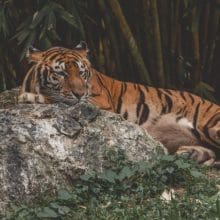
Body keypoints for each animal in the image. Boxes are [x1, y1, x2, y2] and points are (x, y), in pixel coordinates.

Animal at [18, 41, 220, 167]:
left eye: (81, 72)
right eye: (61, 73)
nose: (80, 93)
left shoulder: (98, 103)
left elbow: (60, 99)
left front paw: (29, 97)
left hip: (210, 126)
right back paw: (190, 154)